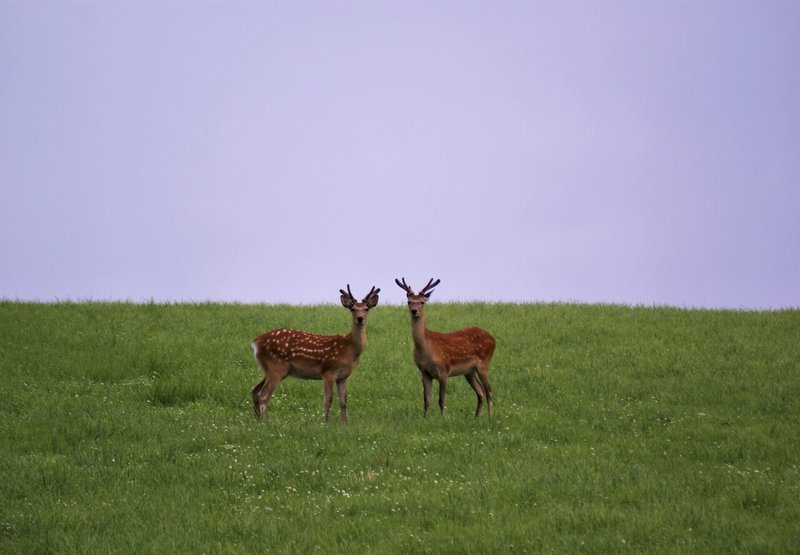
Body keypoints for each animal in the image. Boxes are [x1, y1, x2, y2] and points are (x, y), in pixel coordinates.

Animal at [252, 284, 380, 424]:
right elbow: (328, 400)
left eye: (366, 309)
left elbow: (343, 401)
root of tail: (256, 342)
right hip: (276, 367)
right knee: (263, 395)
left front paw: (345, 424)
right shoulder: (328, 371)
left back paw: (258, 420)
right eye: (353, 309)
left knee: (255, 390)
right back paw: (266, 423)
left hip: (271, 369)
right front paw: (325, 423)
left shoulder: (343, 376)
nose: (360, 318)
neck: (349, 349)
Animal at [394, 278, 494, 416]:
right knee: (480, 392)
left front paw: (443, 418)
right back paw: (476, 418)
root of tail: (493, 339)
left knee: (488, 391)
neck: (426, 349)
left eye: (422, 302)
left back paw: (490, 417)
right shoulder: (424, 372)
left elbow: (441, 400)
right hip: (469, 372)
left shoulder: (443, 369)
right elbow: (426, 400)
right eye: (409, 301)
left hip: (484, 363)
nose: (414, 311)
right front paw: (425, 418)